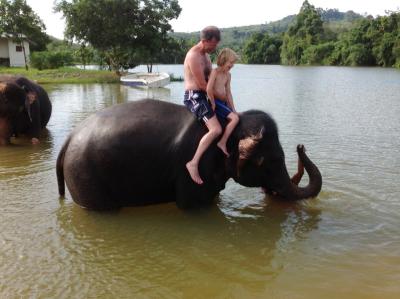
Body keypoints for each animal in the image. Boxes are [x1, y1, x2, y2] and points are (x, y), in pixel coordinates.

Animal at [57, 99, 322, 210]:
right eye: (271, 161)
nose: (301, 146)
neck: (229, 125)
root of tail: (68, 138)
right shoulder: (193, 169)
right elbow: (192, 205)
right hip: (85, 177)